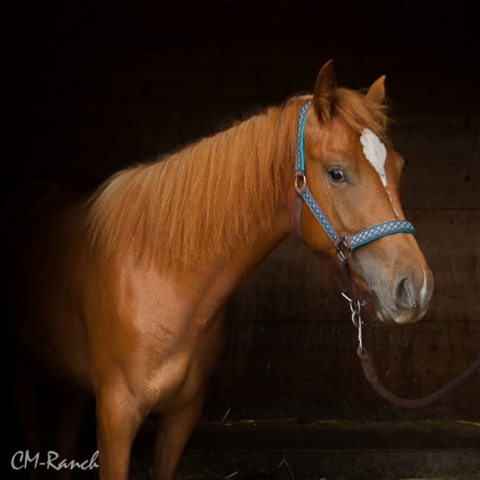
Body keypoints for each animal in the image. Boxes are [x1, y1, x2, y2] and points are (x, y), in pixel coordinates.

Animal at [6, 61, 436, 480]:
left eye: (399, 166)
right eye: (336, 172)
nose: (415, 288)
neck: (164, 278)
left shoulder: (181, 417)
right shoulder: (116, 416)